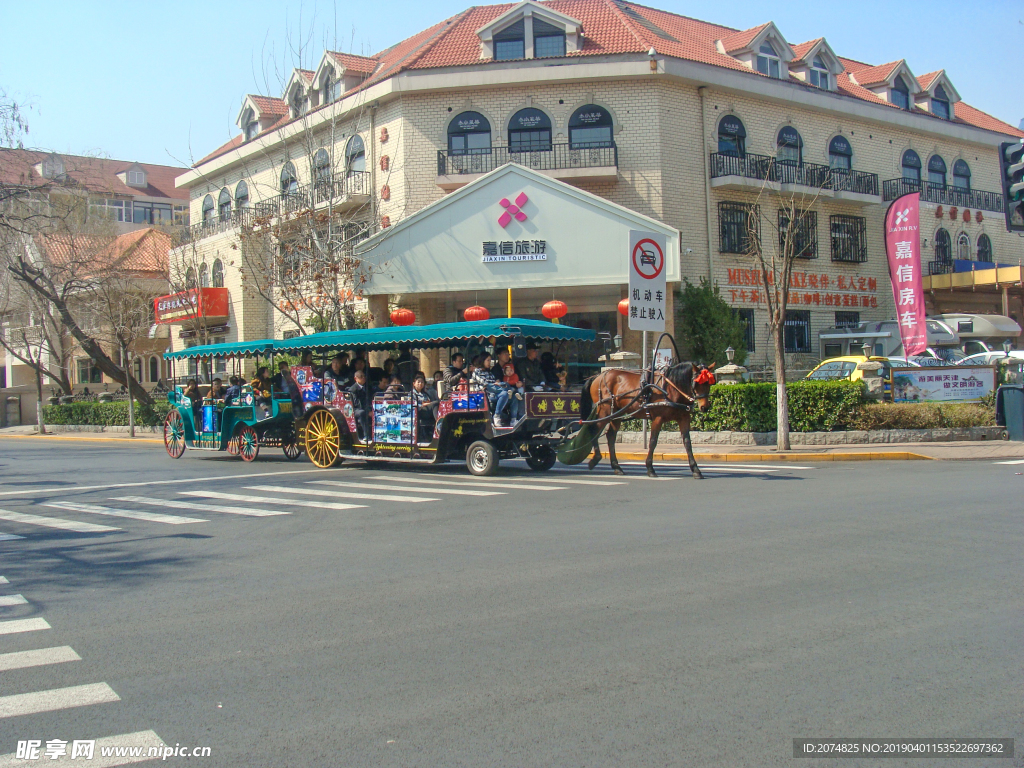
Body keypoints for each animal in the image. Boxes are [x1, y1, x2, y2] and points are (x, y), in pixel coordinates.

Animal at [581, 360, 716, 479]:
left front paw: (696, 470)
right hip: (605, 410)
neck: (670, 388)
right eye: (696, 383)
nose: (704, 407)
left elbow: (687, 442)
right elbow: (653, 441)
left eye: (709, 383)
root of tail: (598, 376)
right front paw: (650, 468)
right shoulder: (658, 419)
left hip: (617, 413)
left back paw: (616, 467)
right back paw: (596, 458)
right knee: (594, 429)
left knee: (610, 436)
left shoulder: (684, 418)